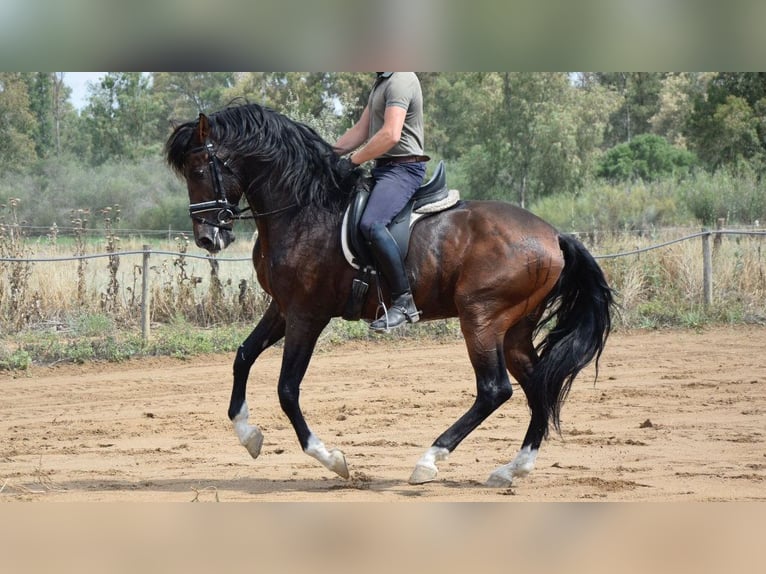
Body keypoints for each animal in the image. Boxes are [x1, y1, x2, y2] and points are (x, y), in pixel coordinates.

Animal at [165, 102, 616, 486]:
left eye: (200, 168)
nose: (208, 238)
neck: (302, 208)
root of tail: (553, 235)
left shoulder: (308, 314)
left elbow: (287, 389)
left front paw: (332, 459)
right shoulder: (284, 307)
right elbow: (243, 356)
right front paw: (248, 434)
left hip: (482, 318)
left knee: (495, 389)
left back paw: (429, 460)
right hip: (515, 327)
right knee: (539, 384)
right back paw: (512, 469)